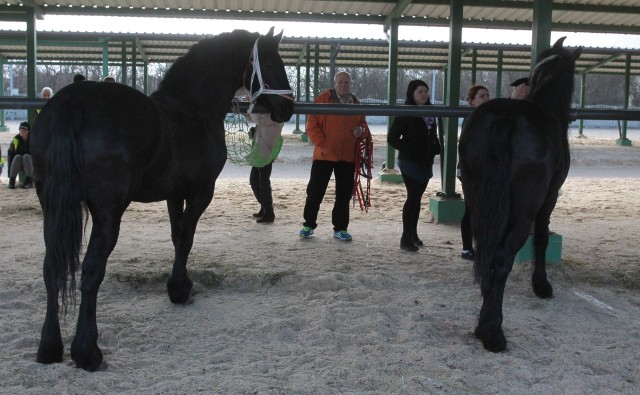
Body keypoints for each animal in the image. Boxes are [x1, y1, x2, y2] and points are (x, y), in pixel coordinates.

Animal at [32, 28, 296, 372]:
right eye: (272, 63)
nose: (288, 109)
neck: (192, 107)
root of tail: (74, 102)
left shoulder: (174, 193)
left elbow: (175, 236)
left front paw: (178, 284)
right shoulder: (201, 191)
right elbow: (186, 238)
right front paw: (179, 290)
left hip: (51, 206)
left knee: (51, 267)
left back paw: (49, 347)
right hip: (107, 213)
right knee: (91, 270)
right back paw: (87, 351)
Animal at [460, 37, 580, 352]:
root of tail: (506, 118)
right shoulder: (550, 198)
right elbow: (542, 237)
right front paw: (542, 285)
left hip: (477, 198)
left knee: (486, 248)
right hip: (524, 210)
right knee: (503, 257)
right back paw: (492, 331)